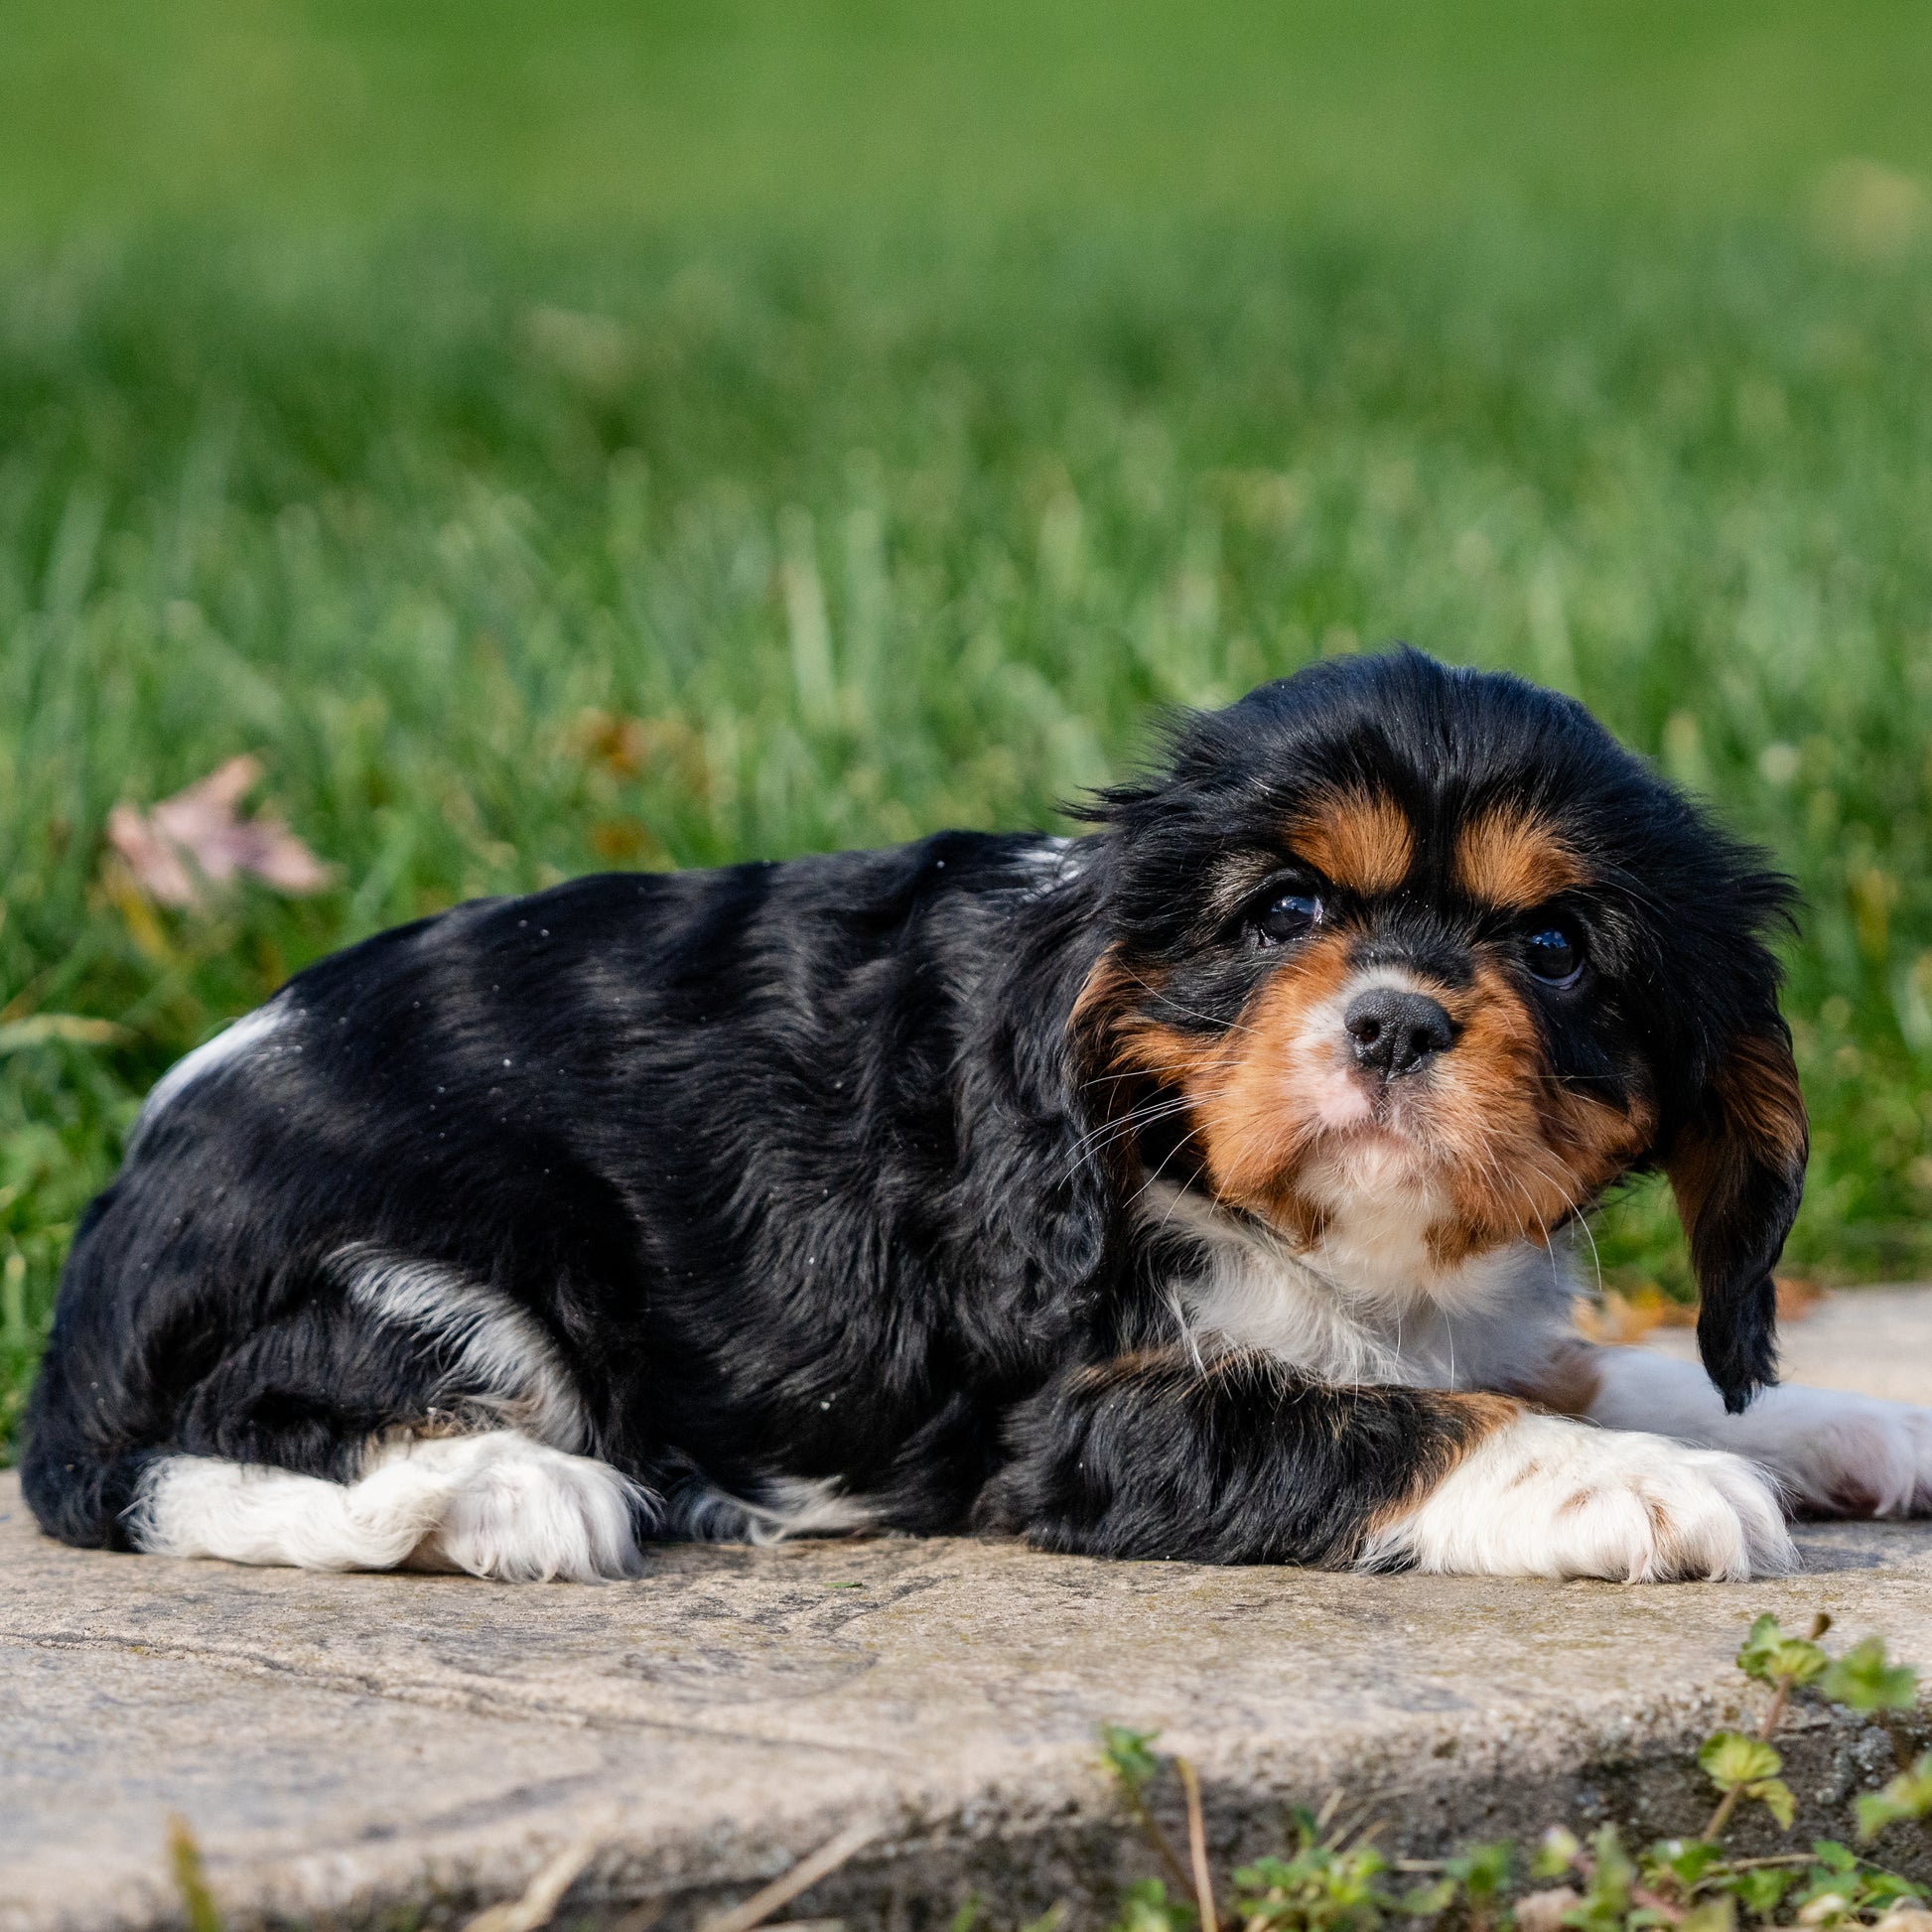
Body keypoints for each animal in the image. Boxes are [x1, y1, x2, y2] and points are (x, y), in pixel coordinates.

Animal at [18, 652, 1932, 1584]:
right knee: (181, 1462)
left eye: (1551, 950)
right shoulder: (1069, 1419)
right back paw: (516, 1495)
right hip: (434, 1275)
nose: (1393, 1016)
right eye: (1283, 915)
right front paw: (1645, 1486)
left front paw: (1829, 1421)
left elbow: (1554, 1362)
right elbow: (1388, 1416)